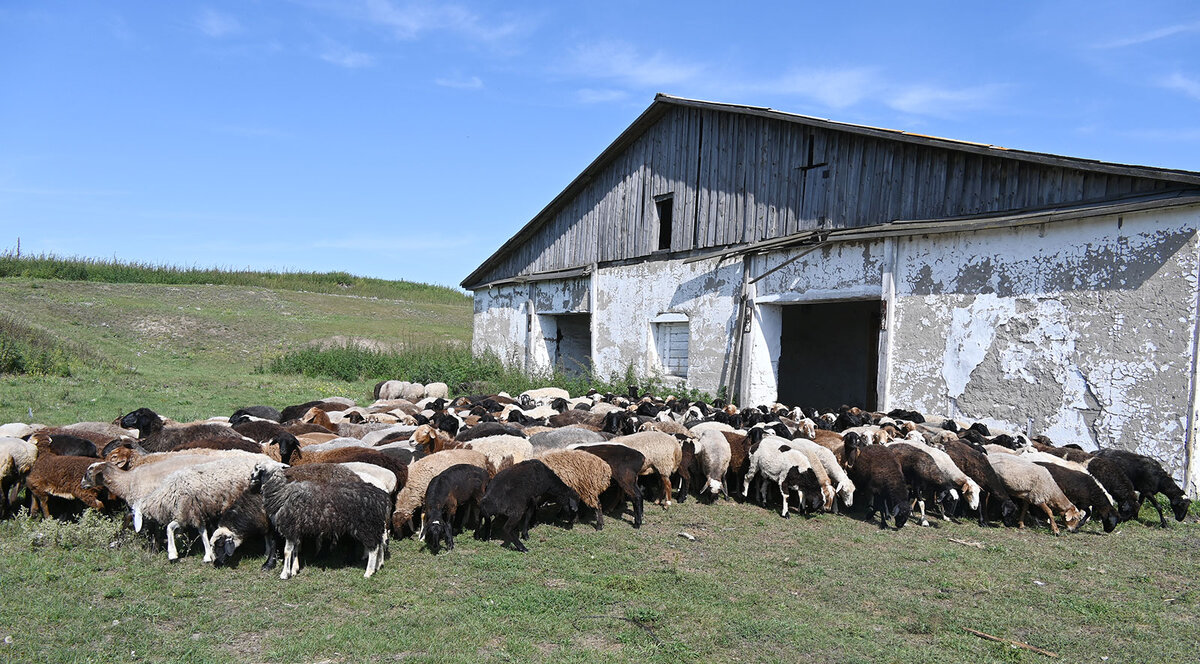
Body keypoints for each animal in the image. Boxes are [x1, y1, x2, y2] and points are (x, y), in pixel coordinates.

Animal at [248, 463, 388, 576]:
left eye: (258, 468)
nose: (250, 476)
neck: (281, 493)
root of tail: (381, 496)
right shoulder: (296, 529)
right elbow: (295, 550)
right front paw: (294, 570)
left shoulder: (289, 527)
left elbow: (287, 551)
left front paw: (284, 574)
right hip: (375, 525)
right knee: (380, 543)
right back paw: (378, 565)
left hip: (366, 526)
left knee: (373, 548)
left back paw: (369, 572)